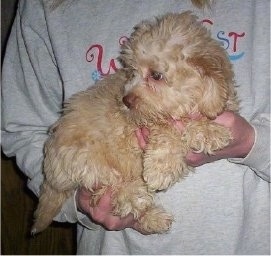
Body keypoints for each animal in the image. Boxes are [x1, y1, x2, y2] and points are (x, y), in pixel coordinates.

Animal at [32, 12, 240, 234]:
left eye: (156, 75)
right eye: (132, 72)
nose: (125, 100)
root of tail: (50, 171)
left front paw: (208, 131)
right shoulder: (147, 124)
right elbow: (166, 131)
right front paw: (160, 169)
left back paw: (154, 218)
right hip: (91, 163)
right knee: (117, 194)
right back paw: (140, 199)